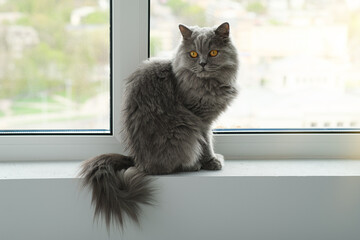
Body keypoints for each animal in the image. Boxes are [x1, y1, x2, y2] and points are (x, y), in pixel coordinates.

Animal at [80, 22, 240, 229]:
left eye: (213, 53)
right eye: (193, 54)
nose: (202, 64)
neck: (207, 84)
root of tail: (136, 160)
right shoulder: (200, 120)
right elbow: (207, 142)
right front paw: (212, 161)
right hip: (185, 131)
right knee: (170, 167)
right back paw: (194, 165)